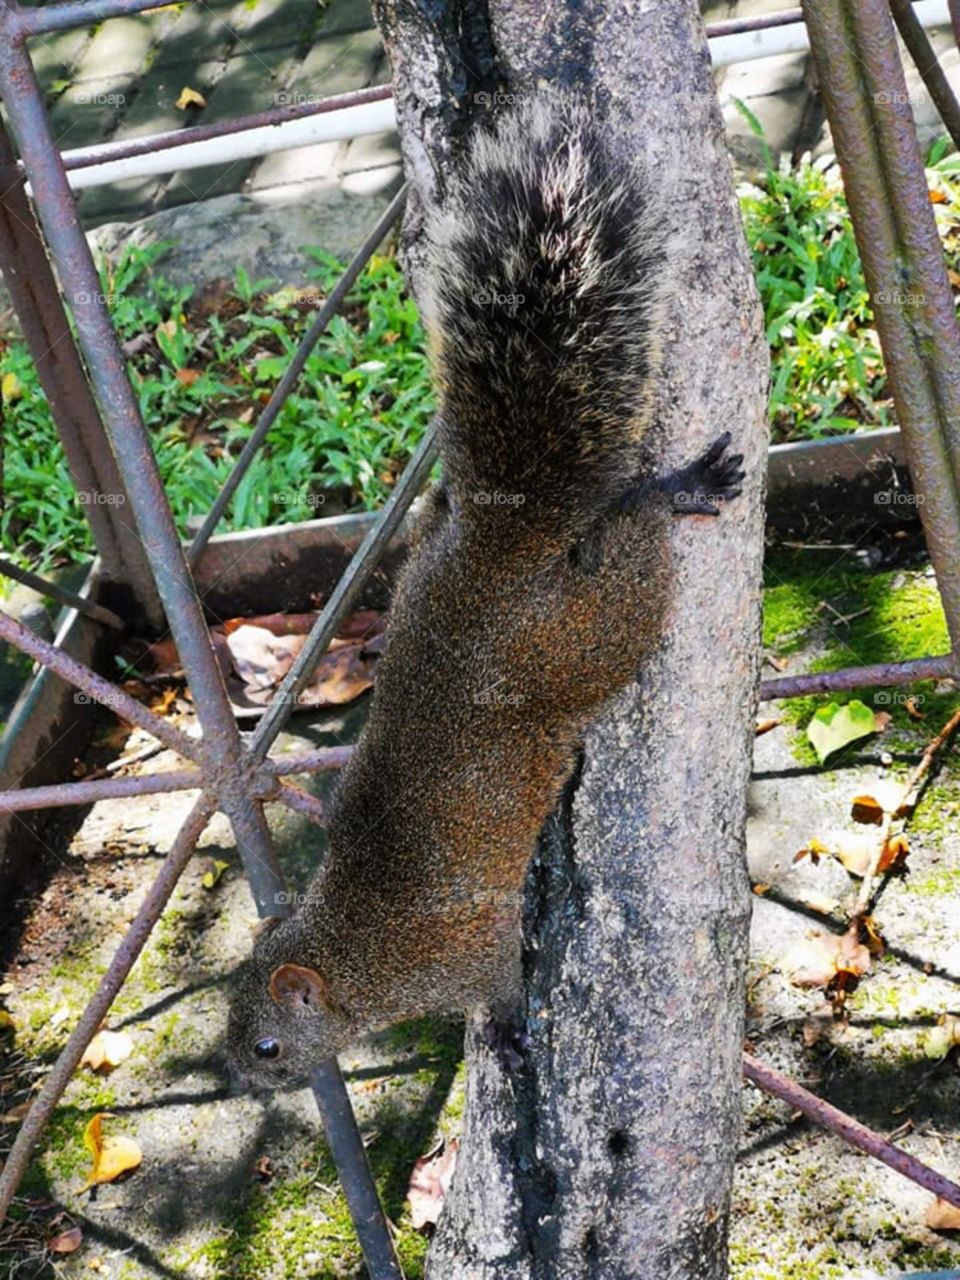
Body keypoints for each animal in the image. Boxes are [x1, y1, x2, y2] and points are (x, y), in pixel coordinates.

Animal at [227, 93, 744, 1087]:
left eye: (266, 1042)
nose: (242, 1080)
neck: (358, 951)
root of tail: (499, 550)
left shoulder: (466, 952)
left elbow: (501, 984)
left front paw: (503, 1035)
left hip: (590, 636)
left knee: (632, 541)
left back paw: (675, 488)